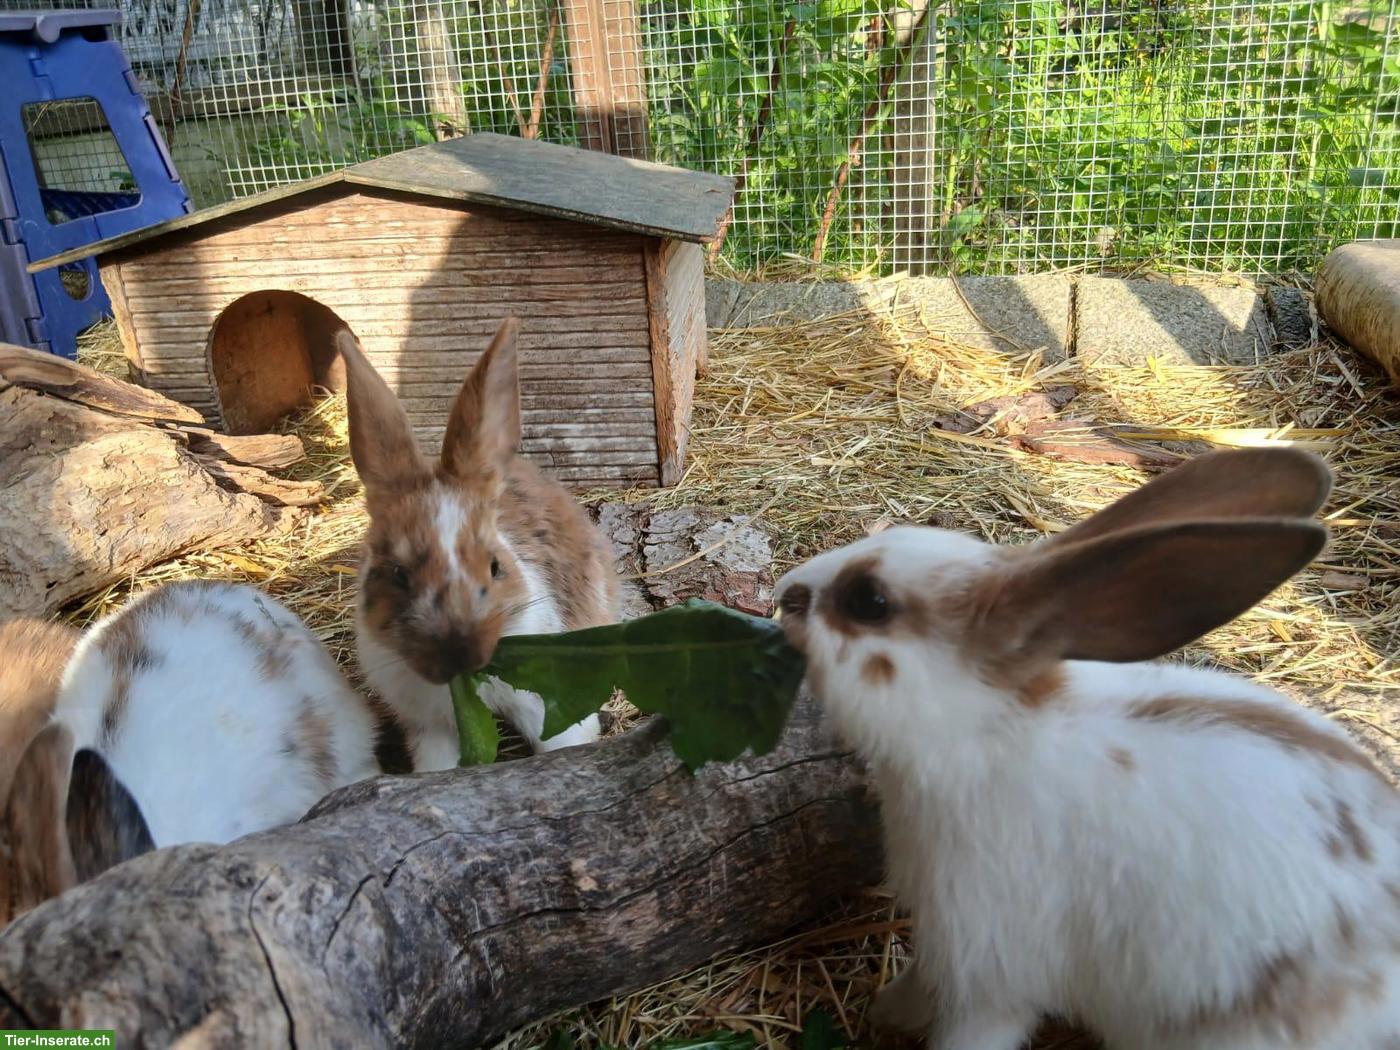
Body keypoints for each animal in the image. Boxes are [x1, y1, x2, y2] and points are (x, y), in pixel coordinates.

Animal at [338, 318, 619, 772]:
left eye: (495, 566)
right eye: (398, 574)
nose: (458, 654)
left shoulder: (541, 703)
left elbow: (561, 739)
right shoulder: (430, 728)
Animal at [773, 447, 1400, 1050]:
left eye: (869, 601)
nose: (785, 593)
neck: (988, 732)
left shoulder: (993, 969)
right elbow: (917, 984)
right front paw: (885, 1012)